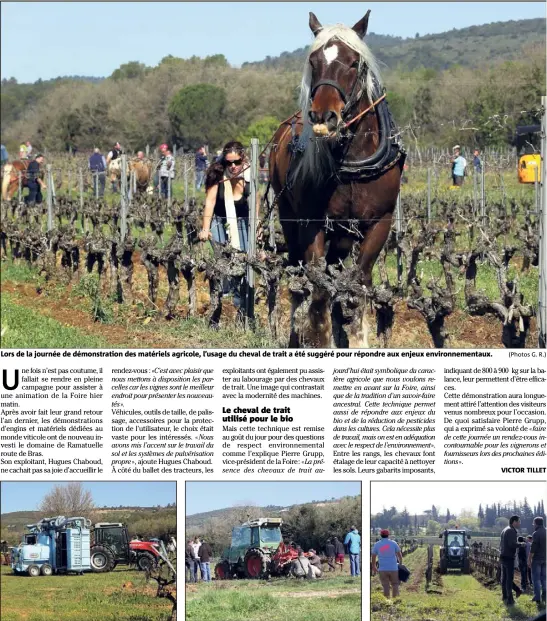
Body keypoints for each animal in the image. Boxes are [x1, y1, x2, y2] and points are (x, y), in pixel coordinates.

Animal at [270, 9, 404, 346]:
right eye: (314, 60)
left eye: (354, 62)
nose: (323, 115)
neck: (353, 160)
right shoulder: (313, 223)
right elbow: (318, 290)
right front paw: (318, 337)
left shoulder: (380, 223)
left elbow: (356, 287)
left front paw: (356, 338)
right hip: (289, 218)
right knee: (297, 281)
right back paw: (295, 335)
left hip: (343, 236)